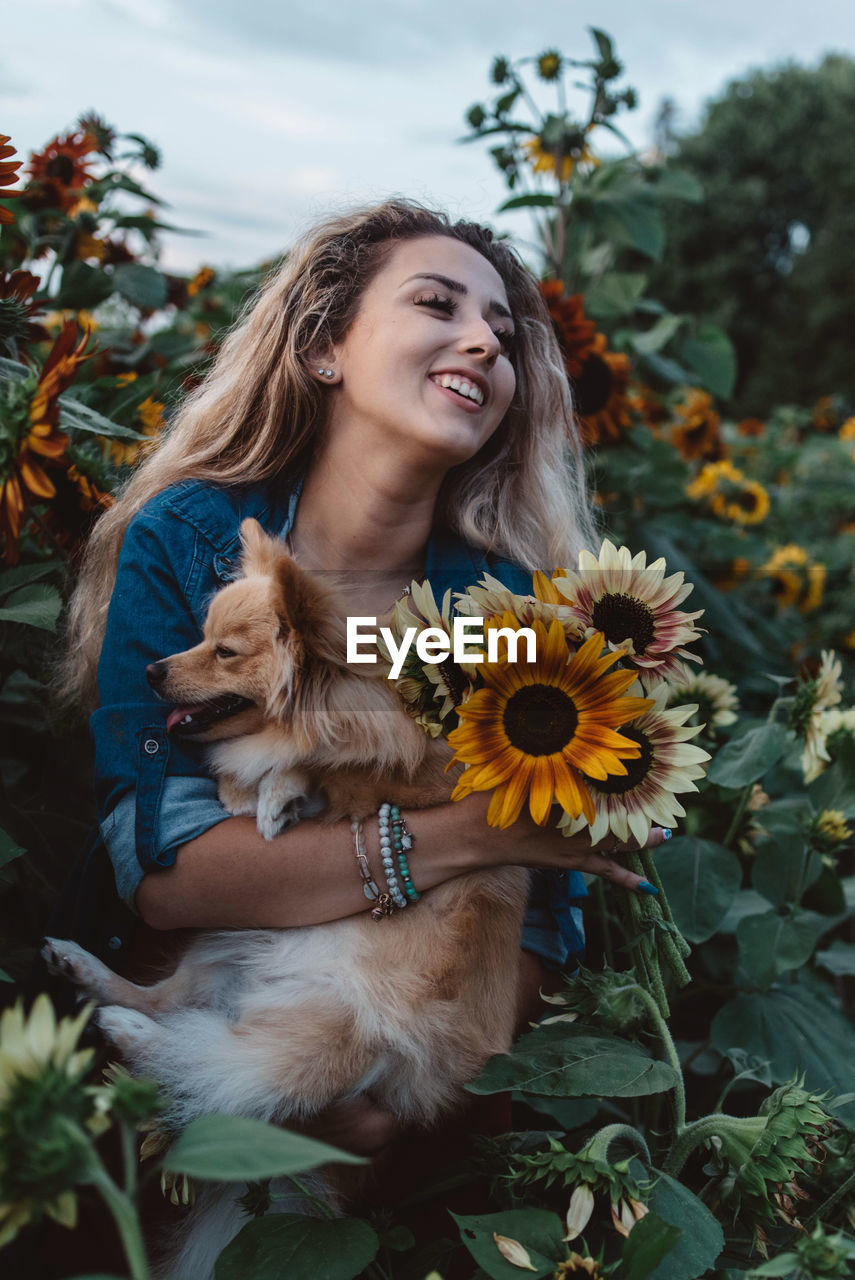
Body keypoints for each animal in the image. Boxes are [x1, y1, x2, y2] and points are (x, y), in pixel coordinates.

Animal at [46, 519, 529, 1280]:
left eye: (225, 652)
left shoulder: (427, 777)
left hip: (335, 1023)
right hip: (226, 939)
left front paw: (282, 791)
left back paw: (131, 1034)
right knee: (168, 1004)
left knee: (226, 1065)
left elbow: (326, 768)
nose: (152, 671)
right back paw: (84, 972)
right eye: (199, 636)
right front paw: (255, 791)